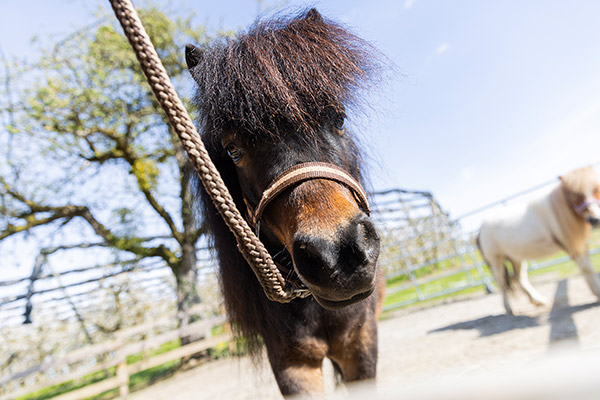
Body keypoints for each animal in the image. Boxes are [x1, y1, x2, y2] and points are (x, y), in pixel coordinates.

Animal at [478, 166, 600, 312]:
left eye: (596, 189)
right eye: (574, 195)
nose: (595, 220)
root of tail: (480, 229)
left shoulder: (581, 245)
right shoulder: (573, 247)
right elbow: (588, 269)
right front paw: (598, 294)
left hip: (516, 258)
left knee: (520, 279)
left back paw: (539, 301)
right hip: (496, 260)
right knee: (502, 282)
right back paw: (509, 309)